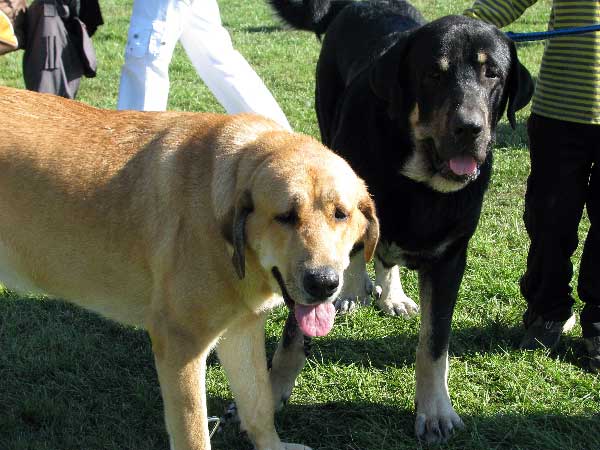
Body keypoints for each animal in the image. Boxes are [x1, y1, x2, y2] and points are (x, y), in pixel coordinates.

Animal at [0, 87, 378, 450]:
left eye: (340, 214)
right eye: (285, 216)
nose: (324, 283)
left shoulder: (241, 330)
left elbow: (258, 406)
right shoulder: (181, 345)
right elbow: (195, 435)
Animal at [268, 0, 536, 442]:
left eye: (493, 73)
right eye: (433, 74)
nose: (469, 128)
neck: (416, 178)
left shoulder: (450, 261)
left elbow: (434, 343)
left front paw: (435, 410)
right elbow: (293, 335)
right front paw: (270, 393)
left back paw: (390, 294)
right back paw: (351, 291)